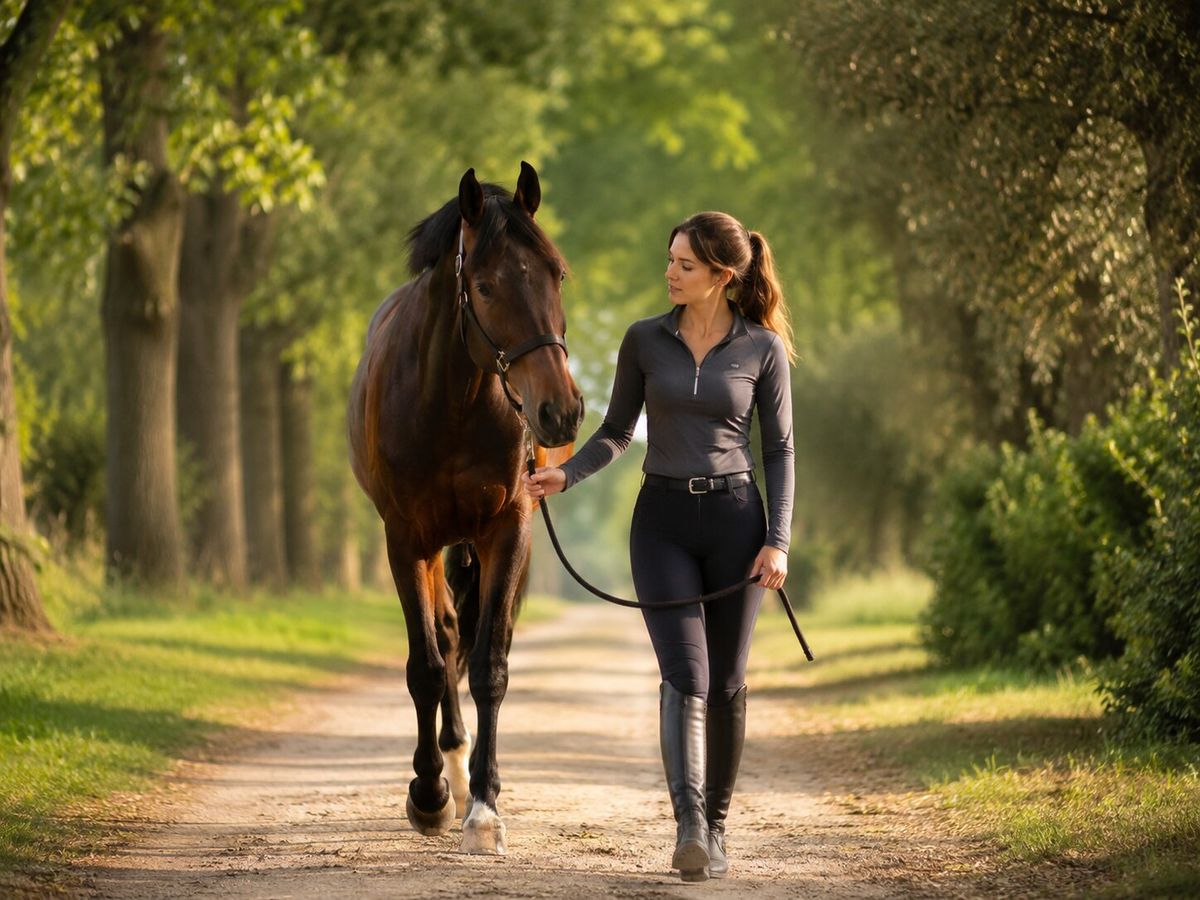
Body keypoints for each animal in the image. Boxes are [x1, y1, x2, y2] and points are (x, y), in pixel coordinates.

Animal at [347, 162, 583, 854]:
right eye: (484, 285)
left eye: (557, 274)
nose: (561, 410)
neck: (451, 403)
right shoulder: (406, 539)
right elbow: (427, 666)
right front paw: (429, 795)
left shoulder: (508, 530)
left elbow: (489, 666)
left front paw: (484, 807)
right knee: (447, 633)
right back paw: (446, 767)